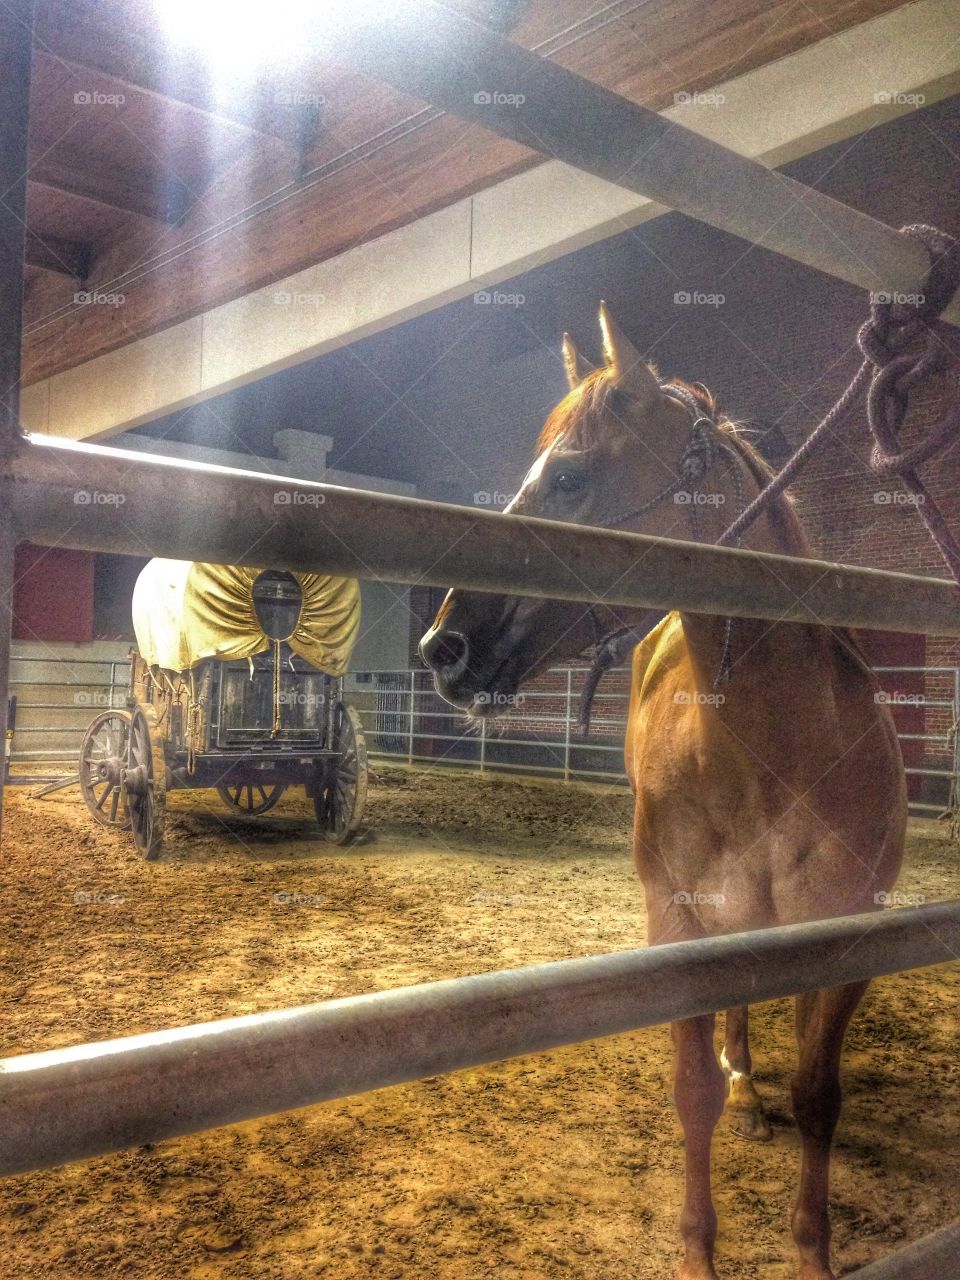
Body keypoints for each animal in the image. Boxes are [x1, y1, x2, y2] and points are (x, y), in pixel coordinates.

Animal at [422, 304, 911, 1274]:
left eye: (569, 476)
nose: (441, 647)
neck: (776, 750)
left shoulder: (847, 943)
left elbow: (820, 1098)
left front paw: (813, 1251)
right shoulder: (678, 927)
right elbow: (692, 1093)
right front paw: (697, 1253)